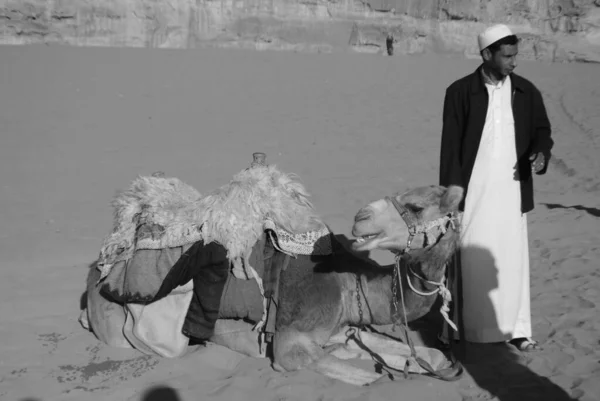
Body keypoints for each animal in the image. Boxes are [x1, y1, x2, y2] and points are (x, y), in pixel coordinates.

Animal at [82, 155, 462, 386]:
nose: (361, 216)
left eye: (416, 205)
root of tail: (95, 273)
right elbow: (373, 378)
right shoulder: (289, 346)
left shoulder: (346, 328)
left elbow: (435, 355)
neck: (346, 283)